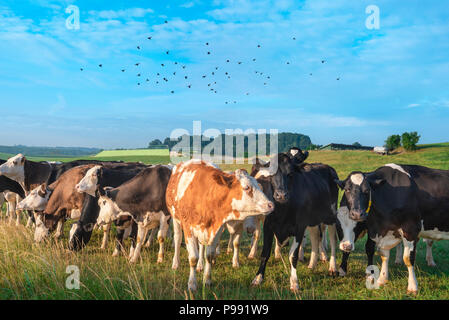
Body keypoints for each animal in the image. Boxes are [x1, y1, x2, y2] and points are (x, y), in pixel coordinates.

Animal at [166, 159, 272, 292]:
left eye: (258, 185)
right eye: (247, 187)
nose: (271, 204)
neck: (206, 196)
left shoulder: (216, 228)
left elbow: (209, 255)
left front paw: (207, 280)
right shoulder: (188, 228)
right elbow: (193, 257)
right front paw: (192, 284)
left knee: (201, 245)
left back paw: (200, 265)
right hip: (176, 219)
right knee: (178, 238)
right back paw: (176, 263)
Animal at [247, 154, 338, 292]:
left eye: (290, 174)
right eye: (271, 174)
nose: (281, 195)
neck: (283, 209)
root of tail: (328, 167)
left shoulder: (299, 227)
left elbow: (293, 256)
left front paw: (294, 282)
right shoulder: (268, 226)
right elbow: (265, 254)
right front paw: (258, 278)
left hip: (331, 216)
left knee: (332, 240)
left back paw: (332, 267)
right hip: (312, 220)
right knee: (315, 237)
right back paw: (312, 264)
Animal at [334, 164, 448, 294]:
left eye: (367, 190)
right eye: (347, 189)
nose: (357, 214)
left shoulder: (411, 229)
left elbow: (408, 258)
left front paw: (412, 286)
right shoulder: (382, 231)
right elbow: (383, 254)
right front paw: (382, 279)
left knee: (428, 242)